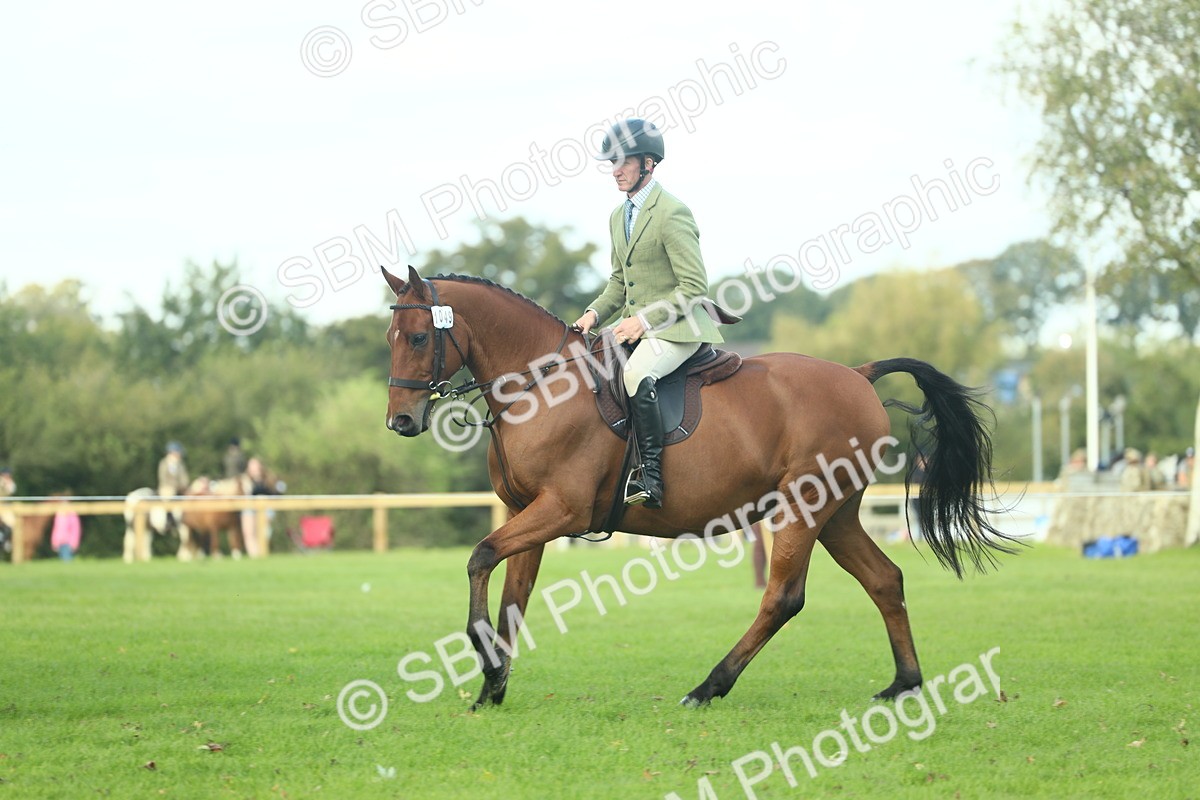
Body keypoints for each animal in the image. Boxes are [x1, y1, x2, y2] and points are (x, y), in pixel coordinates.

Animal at [381, 265, 1019, 709]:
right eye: (390, 335)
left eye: (418, 338)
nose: (401, 422)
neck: (541, 386)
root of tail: (858, 376)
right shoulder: (527, 513)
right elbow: (512, 597)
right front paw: (493, 684)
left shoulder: (561, 510)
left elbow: (479, 556)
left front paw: (487, 664)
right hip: (836, 514)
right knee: (885, 580)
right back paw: (904, 684)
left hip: (803, 507)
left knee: (783, 597)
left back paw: (709, 686)